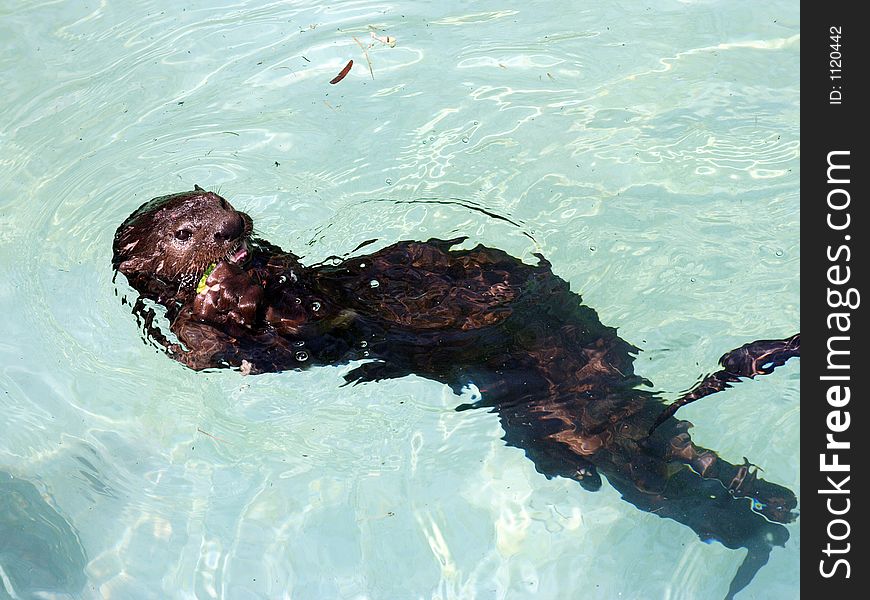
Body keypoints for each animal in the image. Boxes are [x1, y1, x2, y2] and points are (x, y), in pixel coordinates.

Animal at [112, 185, 800, 596]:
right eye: (184, 234)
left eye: (223, 199)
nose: (233, 227)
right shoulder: (212, 347)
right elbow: (234, 348)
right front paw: (224, 293)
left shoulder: (308, 295)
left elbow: (308, 302)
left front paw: (249, 274)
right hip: (549, 427)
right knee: (671, 478)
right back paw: (767, 514)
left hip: (585, 366)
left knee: (673, 457)